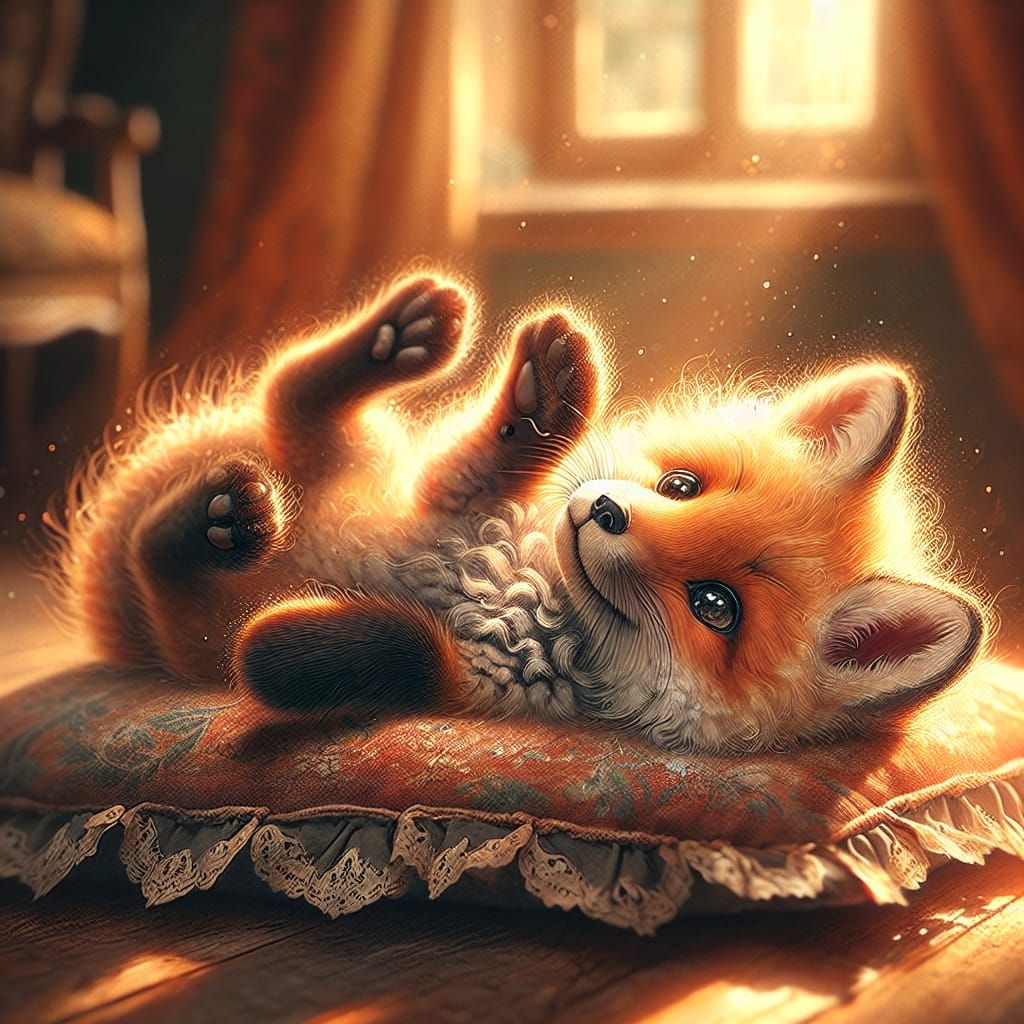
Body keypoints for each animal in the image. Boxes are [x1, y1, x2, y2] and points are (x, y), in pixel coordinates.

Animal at [46, 273, 990, 753]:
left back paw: (217, 523)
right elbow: (491, 456)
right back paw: (404, 336)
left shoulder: (477, 683)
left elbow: (377, 653)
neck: (529, 590)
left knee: (161, 554)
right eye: (684, 487)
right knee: (294, 390)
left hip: (180, 635)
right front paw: (547, 400)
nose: (602, 512)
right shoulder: (450, 499)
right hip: (348, 460)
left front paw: (287, 643)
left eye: (716, 606)